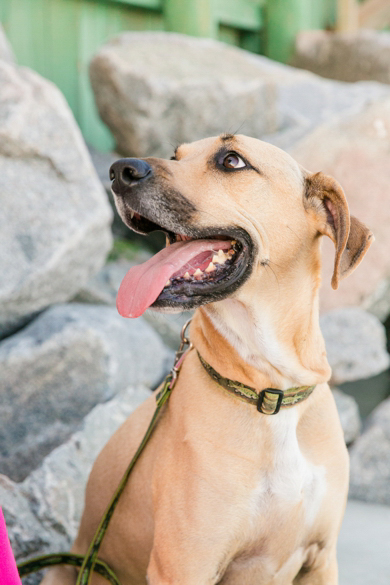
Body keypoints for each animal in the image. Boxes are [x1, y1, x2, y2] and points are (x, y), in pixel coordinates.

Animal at [41, 135, 374, 580]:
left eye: (232, 160)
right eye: (176, 155)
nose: (119, 171)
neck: (269, 389)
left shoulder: (321, 561)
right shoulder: (185, 566)